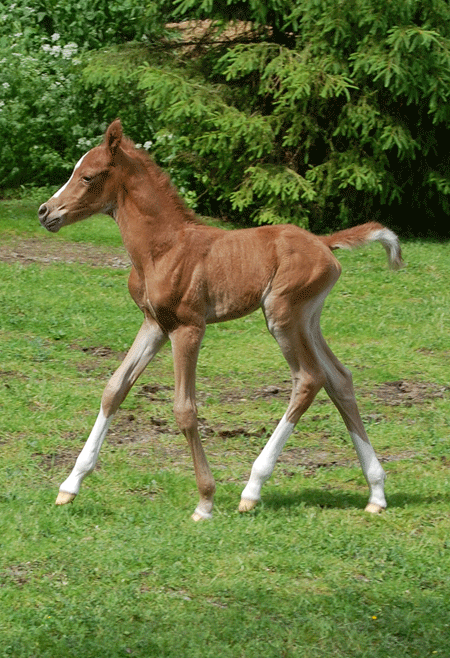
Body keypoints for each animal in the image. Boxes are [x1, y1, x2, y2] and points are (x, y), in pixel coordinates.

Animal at [38, 118, 402, 516]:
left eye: (87, 176)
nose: (45, 211)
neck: (162, 248)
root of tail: (323, 242)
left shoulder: (188, 328)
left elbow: (184, 408)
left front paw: (205, 500)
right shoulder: (155, 324)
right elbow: (114, 388)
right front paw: (70, 485)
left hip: (282, 314)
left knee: (309, 378)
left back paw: (253, 489)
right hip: (308, 318)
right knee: (339, 378)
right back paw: (376, 493)